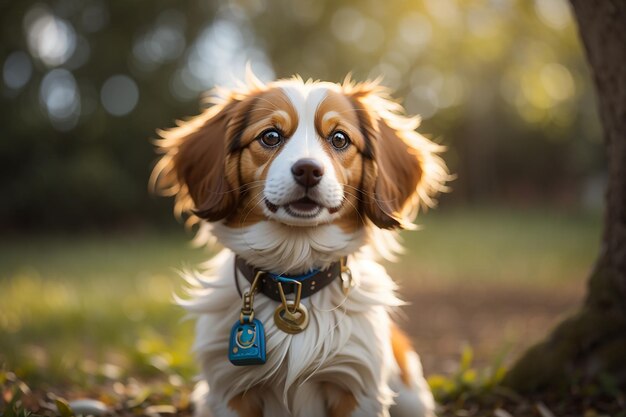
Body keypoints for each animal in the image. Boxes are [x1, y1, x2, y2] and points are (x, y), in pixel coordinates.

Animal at [149, 71, 446, 416]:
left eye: (340, 139)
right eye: (270, 136)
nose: (308, 170)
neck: (293, 283)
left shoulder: (356, 388)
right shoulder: (231, 392)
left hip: (413, 399)